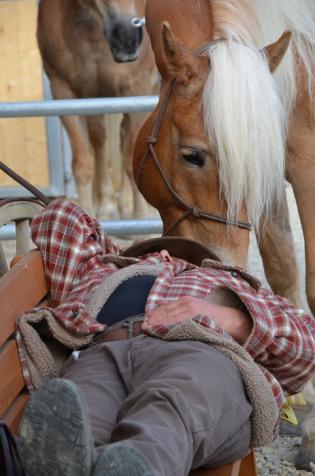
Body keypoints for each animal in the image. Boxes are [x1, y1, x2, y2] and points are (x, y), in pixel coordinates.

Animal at [36, 0, 157, 218]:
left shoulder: (138, 87)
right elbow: (83, 163)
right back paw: (118, 204)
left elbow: (132, 158)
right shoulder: (65, 92)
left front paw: (141, 219)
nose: (128, 38)